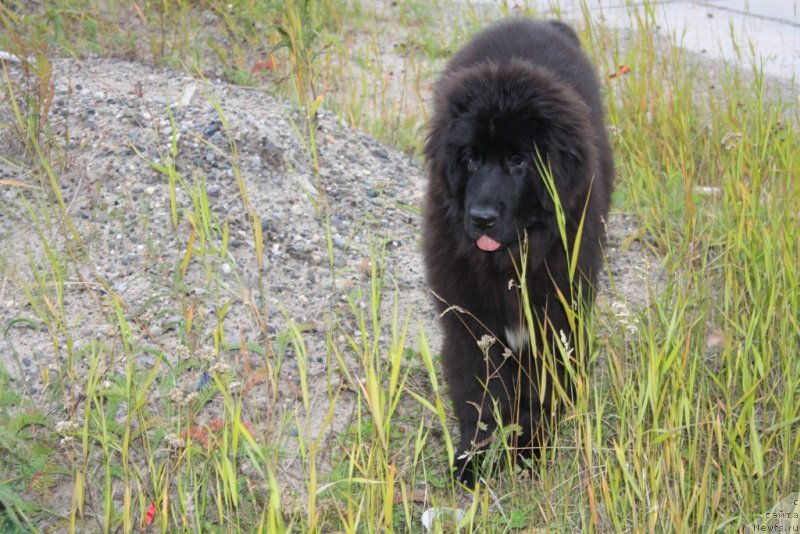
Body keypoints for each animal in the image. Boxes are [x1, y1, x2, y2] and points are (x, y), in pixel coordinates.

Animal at [424, 18, 612, 488]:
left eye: (518, 161)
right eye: (471, 158)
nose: (481, 218)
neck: (510, 262)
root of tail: (539, 21)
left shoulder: (555, 321)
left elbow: (538, 393)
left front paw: (530, 449)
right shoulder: (470, 322)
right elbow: (478, 393)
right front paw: (475, 457)